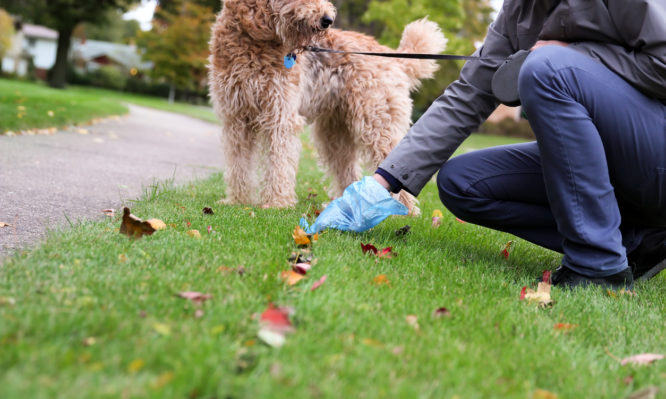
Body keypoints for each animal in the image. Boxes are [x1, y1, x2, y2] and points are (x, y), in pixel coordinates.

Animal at [208, 0, 446, 216]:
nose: (327, 20)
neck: (253, 39)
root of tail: (394, 57)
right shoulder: (235, 118)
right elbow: (238, 164)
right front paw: (237, 200)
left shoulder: (281, 116)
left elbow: (279, 163)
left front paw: (276, 203)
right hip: (335, 134)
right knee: (348, 172)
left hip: (377, 122)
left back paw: (403, 211)